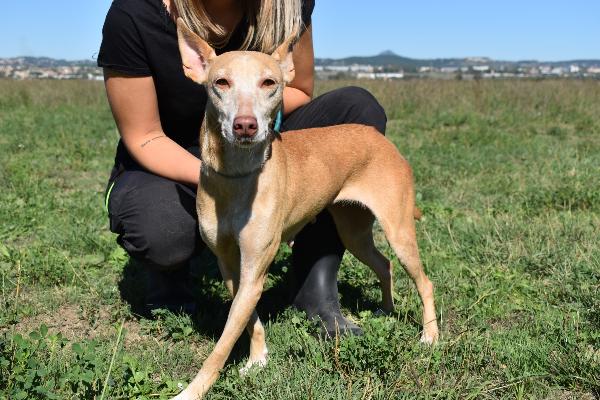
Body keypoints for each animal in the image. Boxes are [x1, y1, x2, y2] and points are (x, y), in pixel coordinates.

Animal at [171, 18, 438, 400]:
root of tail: (382, 140)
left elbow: (221, 345)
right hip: (354, 232)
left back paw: (430, 335)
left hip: (398, 231)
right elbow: (247, 318)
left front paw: (193, 391)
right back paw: (387, 309)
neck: (237, 177)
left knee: (425, 282)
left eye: (269, 83)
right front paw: (258, 358)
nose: (245, 125)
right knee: (384, 264)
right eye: (220, 82)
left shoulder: (254, 267)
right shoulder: (232, 266)